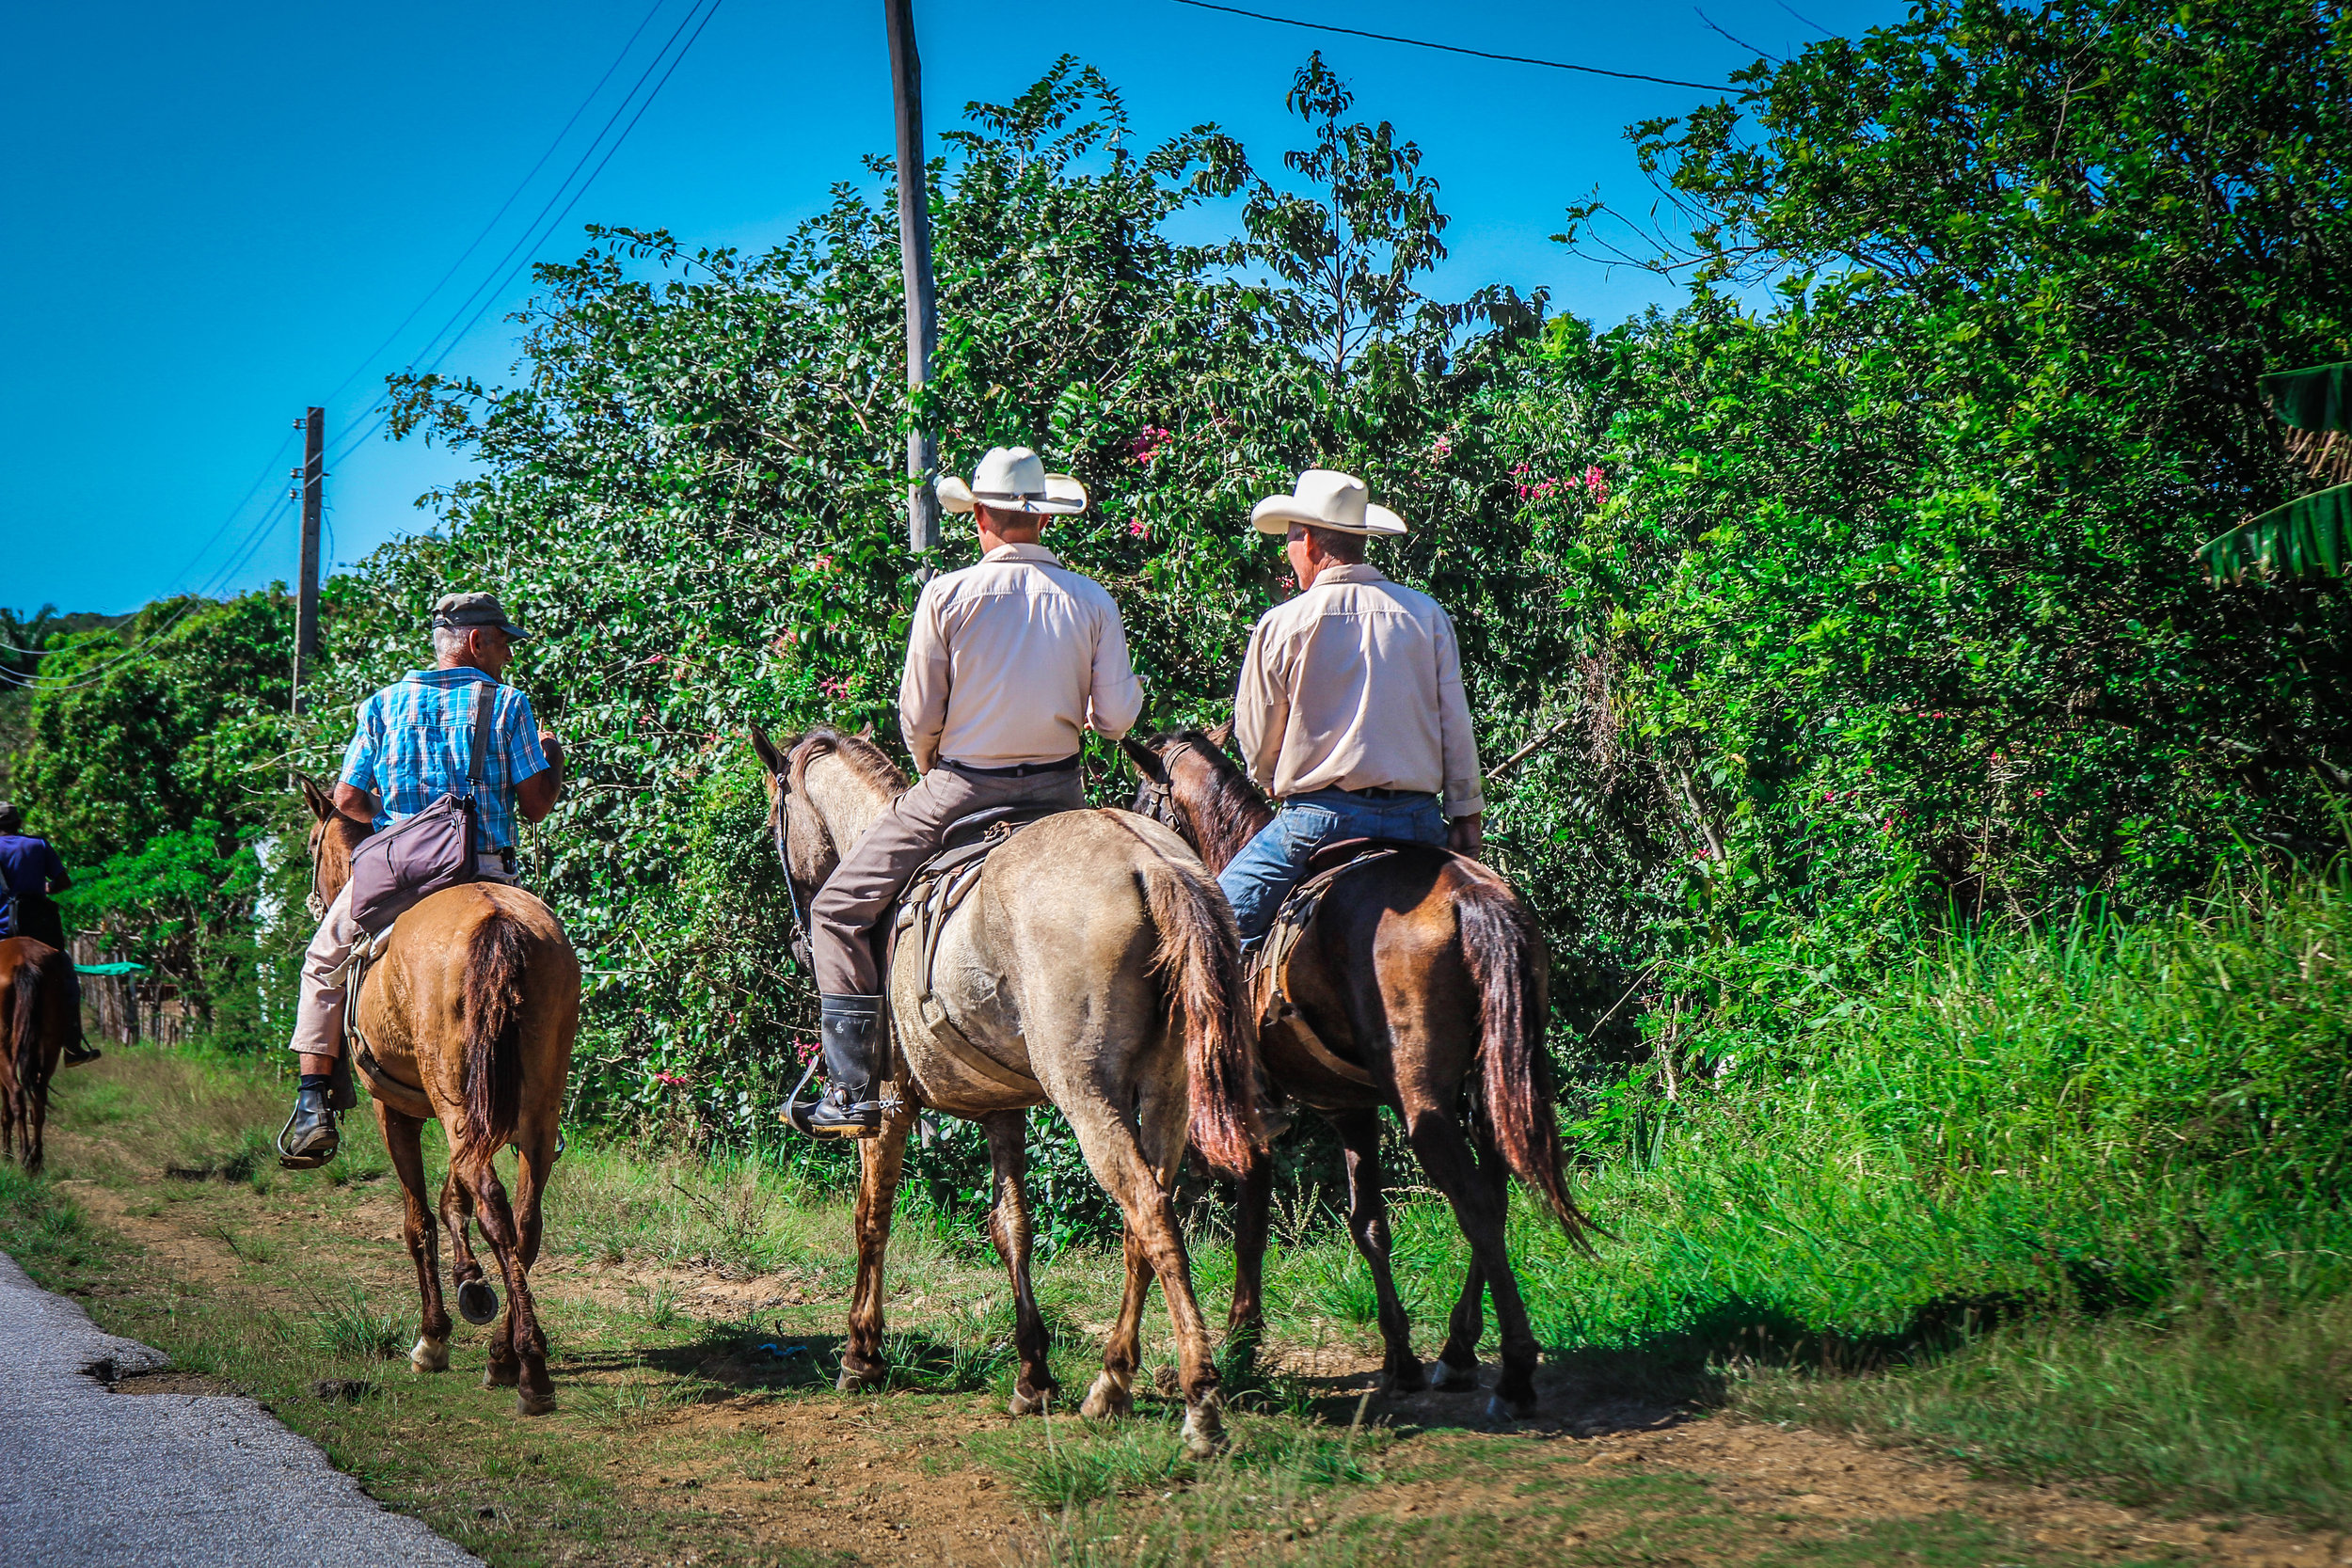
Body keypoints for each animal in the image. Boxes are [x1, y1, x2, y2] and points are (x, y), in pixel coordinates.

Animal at [0, 940, 75, 1170]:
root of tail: (24, 961)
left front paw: (6, 1154)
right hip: (52, 1043)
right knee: (39, 1097)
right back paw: (36, 1160)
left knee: (17, 1093)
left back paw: (24, 1156)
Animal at [298, 780, 583, 1419]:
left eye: (309, 845)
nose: (314, 903)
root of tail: (498, 922)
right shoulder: (472, 1108)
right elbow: (455, 1199)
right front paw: (472, 1283)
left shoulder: (396, 1109)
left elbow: (419, 1220)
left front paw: (433, 1337)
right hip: (531, 1104)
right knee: (522, 1217)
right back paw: (507, 1354)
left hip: (453, 1097)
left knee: (495, 1205)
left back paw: (528, 1370)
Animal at [753, 728, 1270, 1457]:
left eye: (777, 817)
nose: (801, 944)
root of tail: (1149, 862)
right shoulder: (1003, 1109)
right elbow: (1012, 1227)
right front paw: (1033, 1372)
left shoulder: (886, 1106)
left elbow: (870, 1218)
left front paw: (861, 1353)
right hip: (1167, 1095)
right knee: (1145, 1218)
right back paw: (1112, 1382)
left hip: (1088, 1097)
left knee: (1149, 1214)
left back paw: (1200, 1400)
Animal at [1124, 728, 1599, 1419]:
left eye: (1142, 799)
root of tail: (1472, 898)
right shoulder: (1352, 1108)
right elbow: (1370, 1224)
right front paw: (1400, 1357)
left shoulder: (1260, 1115)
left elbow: (1251, 1228)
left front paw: (1242, 1341)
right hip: (1491, 1084)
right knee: (1496, 1193)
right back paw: (1458, 1351)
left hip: (1423, 1104)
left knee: (1475, 1203)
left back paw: (1512, 1373)